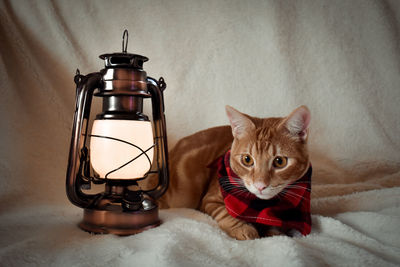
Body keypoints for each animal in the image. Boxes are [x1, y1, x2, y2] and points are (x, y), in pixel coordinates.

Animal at [155, 106, 310, 241]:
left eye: (280, 161)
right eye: (247, 159)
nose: (260, 185)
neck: (258, 206)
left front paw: (275, 232)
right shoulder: (210, 200)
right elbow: (226, 213)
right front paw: (243, 228)